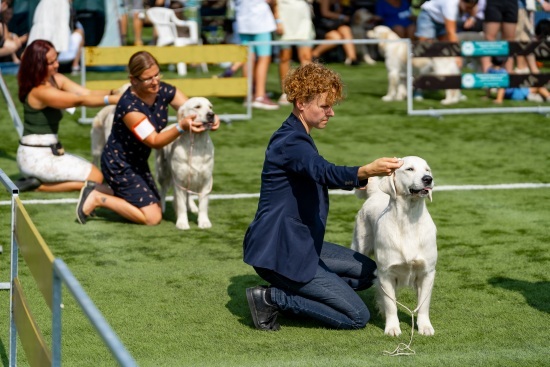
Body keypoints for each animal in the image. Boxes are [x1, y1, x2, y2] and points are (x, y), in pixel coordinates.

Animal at [156, 98, 217, 230]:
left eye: (210, 107)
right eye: (197, 107)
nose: (211, 115)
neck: (197, 142)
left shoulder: (206, 180)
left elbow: (203, 205)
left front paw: (204, 222)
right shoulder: (179, 180)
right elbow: (181, 205)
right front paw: (182, 223)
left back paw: (193, 207)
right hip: (163, 172)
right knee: (162, 190)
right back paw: (162, 208)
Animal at [354, 157, 440, 338]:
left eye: (427, 170)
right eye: (409, 169)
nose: (428, 179)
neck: (409, 219)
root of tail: (376, 193)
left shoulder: (427, 272)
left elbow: (423, 305)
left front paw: (425, 327)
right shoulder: (386, 272)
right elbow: (391, 304)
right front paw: (392, 328)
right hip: (359, 247)